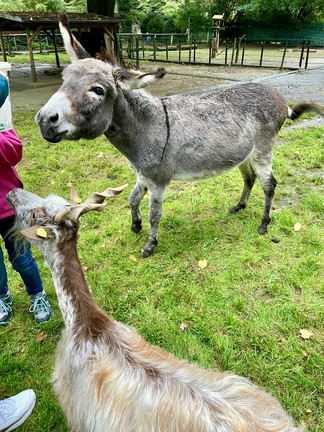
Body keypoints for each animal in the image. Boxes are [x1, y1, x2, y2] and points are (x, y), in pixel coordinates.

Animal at [34, 14, 322, 256]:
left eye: (98, 90)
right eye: (63, 79)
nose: (44, 120)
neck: (147, 127)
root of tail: (279, 97)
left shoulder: (158, 180)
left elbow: (155, 214)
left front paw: (150, 245)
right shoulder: (142, 174)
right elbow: (132, 198)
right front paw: (135, 225)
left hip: (263, 150)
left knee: (269, 185)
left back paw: (264, 225)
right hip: (245, 154)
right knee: (249, 178)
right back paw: (239, 207)